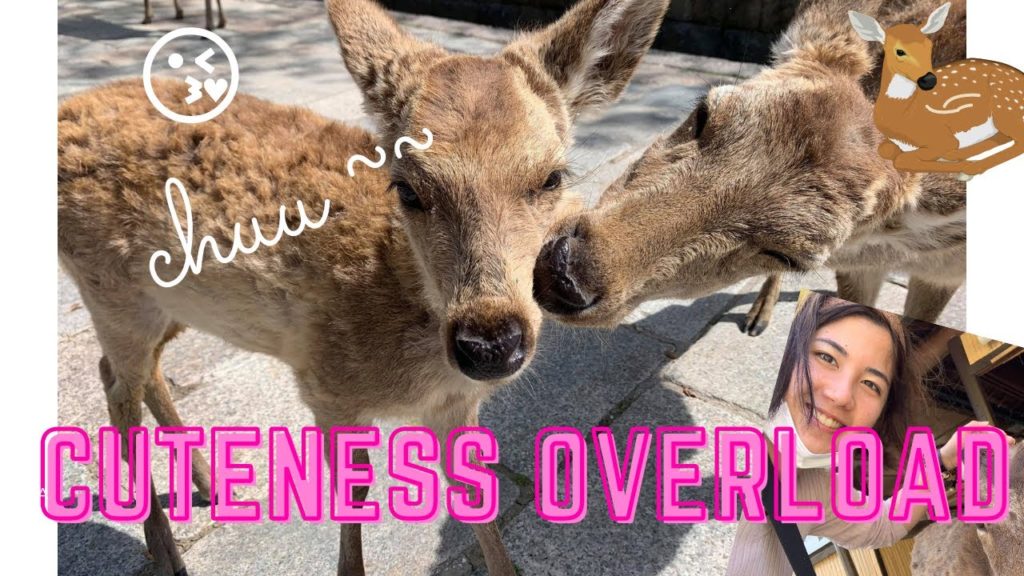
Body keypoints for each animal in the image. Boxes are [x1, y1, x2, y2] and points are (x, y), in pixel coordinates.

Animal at [57, 0, 670, 574]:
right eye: (407, 188)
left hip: (165, 304)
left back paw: (208, 483)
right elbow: (352, 504)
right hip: (109, 289)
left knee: (129, 371)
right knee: (118, 389)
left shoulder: (454, 403)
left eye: (552, 177)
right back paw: (167, 549)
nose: (490, 344)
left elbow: (478, 501)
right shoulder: (326, 387)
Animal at [850, 2, 1024, 181]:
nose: (929, 80)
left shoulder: (942, 137)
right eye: (899, 51)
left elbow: (904, 159)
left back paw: (970, 166)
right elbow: (887, 150)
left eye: (929, 46)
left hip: (1003, 107)